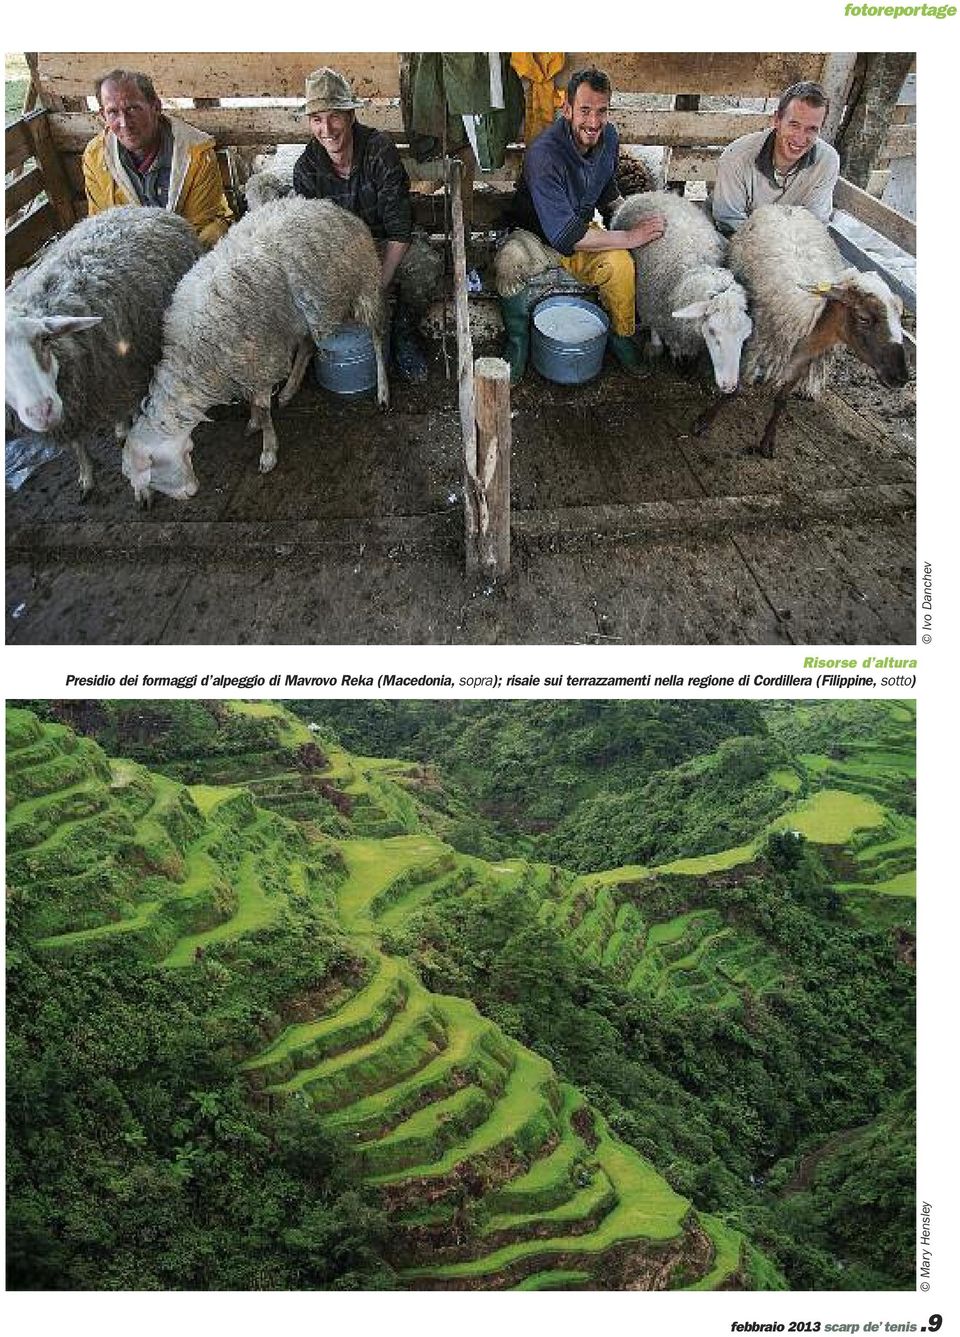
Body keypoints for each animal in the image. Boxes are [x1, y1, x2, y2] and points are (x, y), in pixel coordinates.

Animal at [5, 205, 203, 500]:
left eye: (43, 339)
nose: (42, 411)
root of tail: (132, 208)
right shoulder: (74, 406)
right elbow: (78, 445)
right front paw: (86, 476)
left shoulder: (128, 374)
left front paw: (141, 489)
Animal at [122, 197, 390, 505]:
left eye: (151, 471)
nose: (191, 492)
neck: (196, 357)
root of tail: (328, 205)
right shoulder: (248, 362)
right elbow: (257, 404)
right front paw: (254, 422)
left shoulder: (260, 357)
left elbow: (263, 409)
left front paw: (268, 451)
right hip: (302, 315)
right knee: (307, 345)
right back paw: (289, 390)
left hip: (364, 282)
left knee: (377, 337)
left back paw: (383, 392)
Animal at [612, 191, 754, 393]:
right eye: (712, 332)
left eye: (744, 336)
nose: (729, 387)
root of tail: (648, 193)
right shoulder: (651, 303)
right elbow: (655, 328)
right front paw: (656, 346)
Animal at [700, 200, 909, 457]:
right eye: (864, 318)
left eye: (899, 317)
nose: (901, 377)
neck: (810, 323)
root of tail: (785, 206)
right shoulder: (753, 349)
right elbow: (735, 389)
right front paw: (705, 420)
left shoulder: (802, 364)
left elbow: (782, 400)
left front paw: (767, 441)